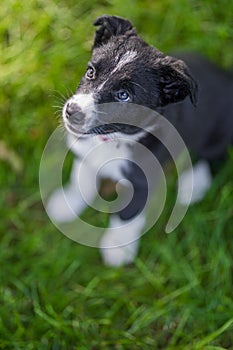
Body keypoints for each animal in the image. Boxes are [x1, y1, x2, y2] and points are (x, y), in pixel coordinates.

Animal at [46, 13, 233, 266]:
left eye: (124, 95)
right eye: (91, 71)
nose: (72, 111)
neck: (115, 139)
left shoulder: (142, 181)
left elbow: (127, 215)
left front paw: (118, 248)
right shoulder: (85, 154)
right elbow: (81, 180)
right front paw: (66, 205)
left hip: (218, 132)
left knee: (214, 156)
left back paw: (194, 186)